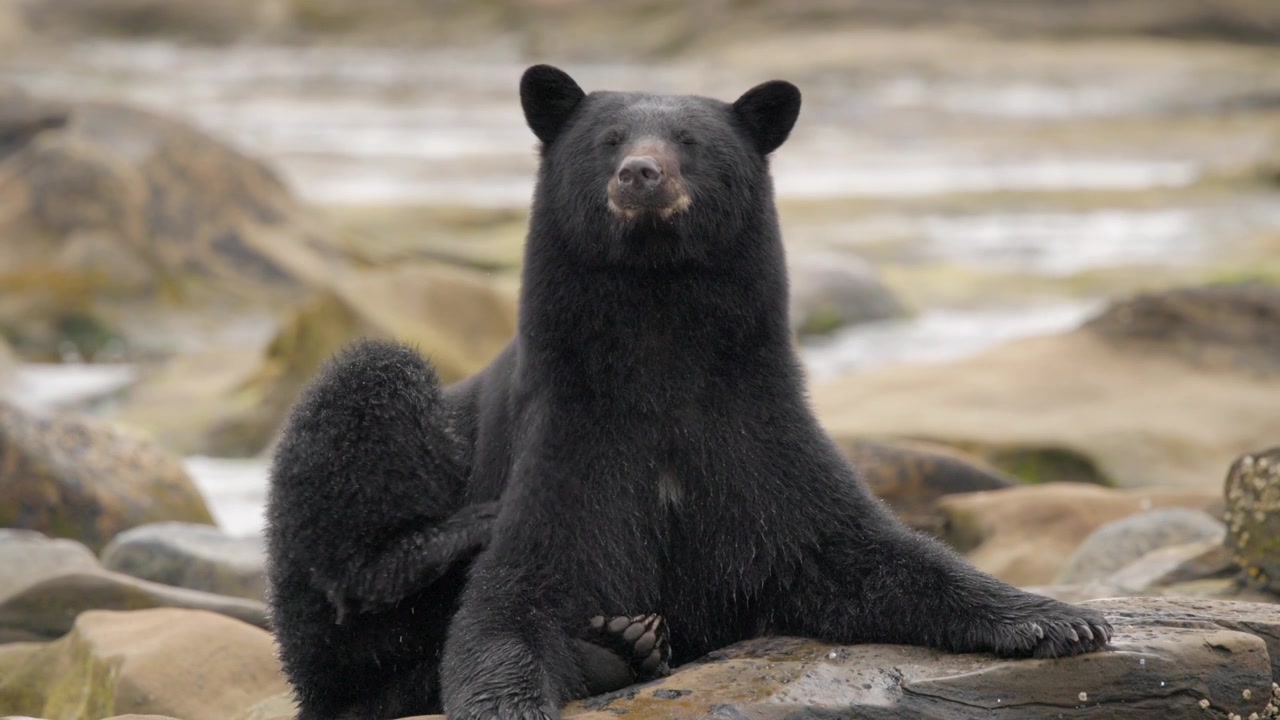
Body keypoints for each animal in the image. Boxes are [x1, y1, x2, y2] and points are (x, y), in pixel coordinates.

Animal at [266, 64, 1112, 720]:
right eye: (608, 140)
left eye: (693, 144)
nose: (641, 173)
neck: (660, 344)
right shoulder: (568, 439)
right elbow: (508, 604)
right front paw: (516, 693)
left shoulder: (757, 431)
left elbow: (870, 552)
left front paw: (1061, 621)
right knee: (356, 475)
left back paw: (621, 647)